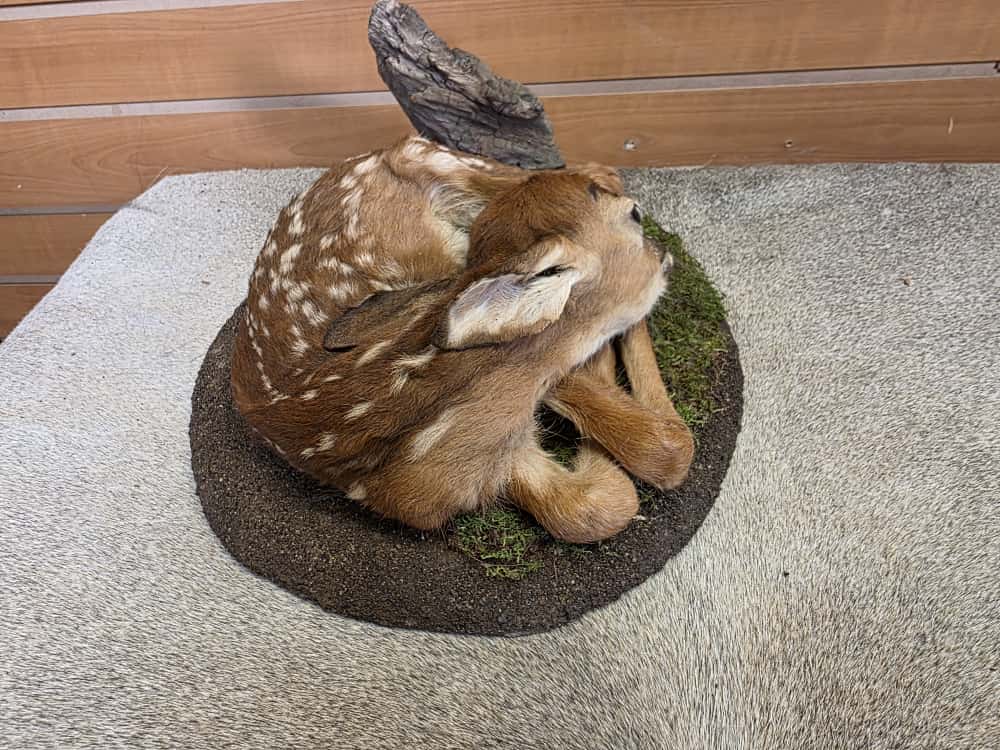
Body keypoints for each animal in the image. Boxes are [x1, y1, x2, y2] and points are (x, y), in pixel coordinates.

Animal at [231, 135, 694, 543]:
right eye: (635, 217)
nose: (663, 253)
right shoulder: (492, 463)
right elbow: (614, 489)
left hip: (448, 162)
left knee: (599, 168)